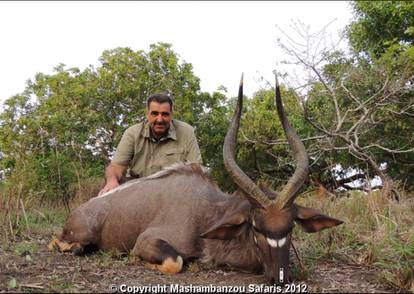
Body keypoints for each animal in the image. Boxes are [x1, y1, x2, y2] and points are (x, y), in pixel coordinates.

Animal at [48, 73, 342, 284]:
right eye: (256, 228)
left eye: (290, 228)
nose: (279, 278)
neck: (208, 212)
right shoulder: (147, 241)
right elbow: (175, 262)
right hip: (81, 235)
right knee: (58, 242)